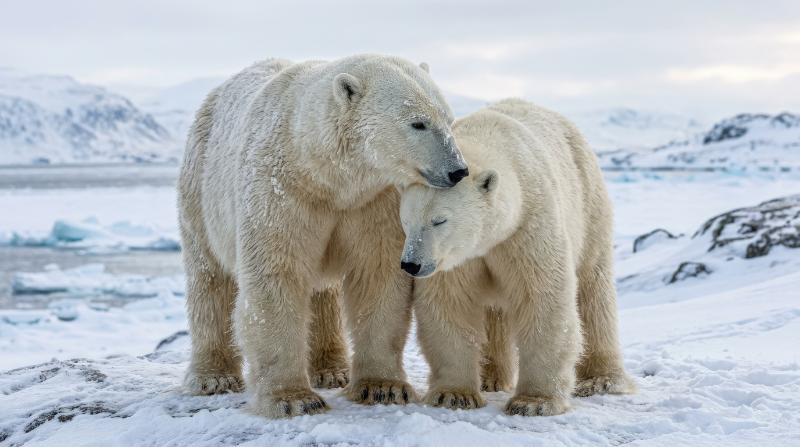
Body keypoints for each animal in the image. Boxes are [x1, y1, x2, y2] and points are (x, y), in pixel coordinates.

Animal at [177, 55, 469, 418]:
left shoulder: (374, 200)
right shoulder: (281, 190)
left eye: (449, 120)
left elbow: (378, 275)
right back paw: (213, 377)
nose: (458, 170)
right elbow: (276, 276)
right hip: (200, 188)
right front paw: (293, 398)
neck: (324, 173)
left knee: (323, 293)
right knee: (209, 279)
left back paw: (332, 369)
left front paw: (383, 387)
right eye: (418, 123)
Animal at [398, 98, 636, 416]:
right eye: (406, 220)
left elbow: (542, 297)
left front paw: (533, 402)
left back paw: (602, 380)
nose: (411, 264)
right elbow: (449, 303)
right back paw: (492, 377)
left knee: (593, 290)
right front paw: (455, 394)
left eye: (439, 220)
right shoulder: (458, 259)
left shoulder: (527, 226)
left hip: (589, 202)